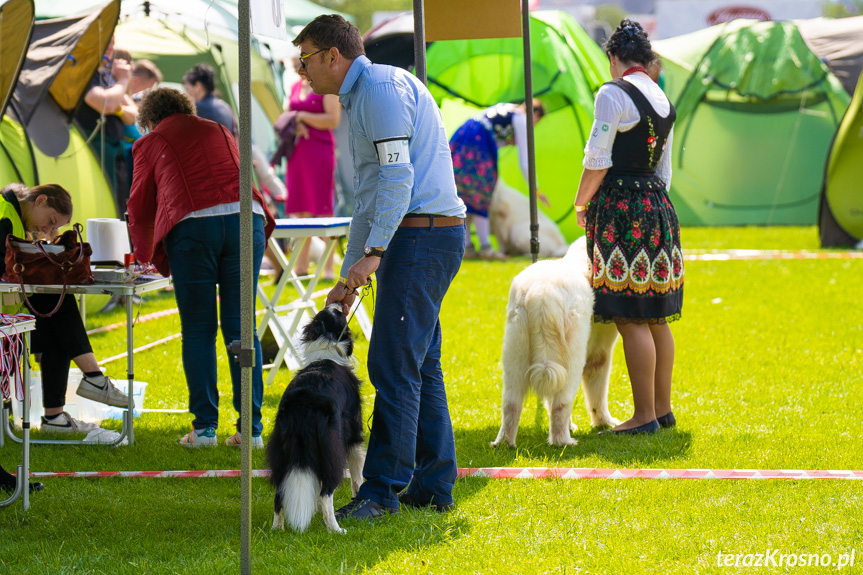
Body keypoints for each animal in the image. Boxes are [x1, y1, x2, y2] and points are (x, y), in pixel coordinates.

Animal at [492, 236, 620, 448]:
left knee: (511, 404)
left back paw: (504, 443)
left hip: (515, 351)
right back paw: (565, 442)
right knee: (562, 404)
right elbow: (598, 394)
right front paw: (605, 423)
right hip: (571, 357)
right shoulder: (600, 352)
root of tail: (542, 295)